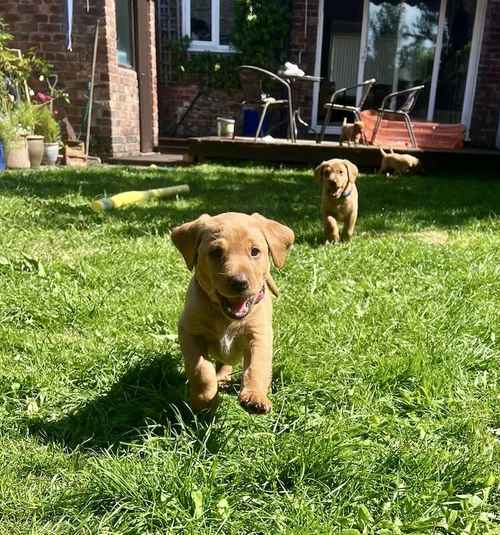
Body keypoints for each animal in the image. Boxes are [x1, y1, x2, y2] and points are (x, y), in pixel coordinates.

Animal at [172, 213, 294, 414]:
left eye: (255, 251)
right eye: (215, 252)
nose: (239, 282)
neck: (226, 317)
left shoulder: (259, 335)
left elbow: (257, 367)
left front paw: (255, 397)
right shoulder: (189, 332)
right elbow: (201, 369)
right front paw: (204, 400)